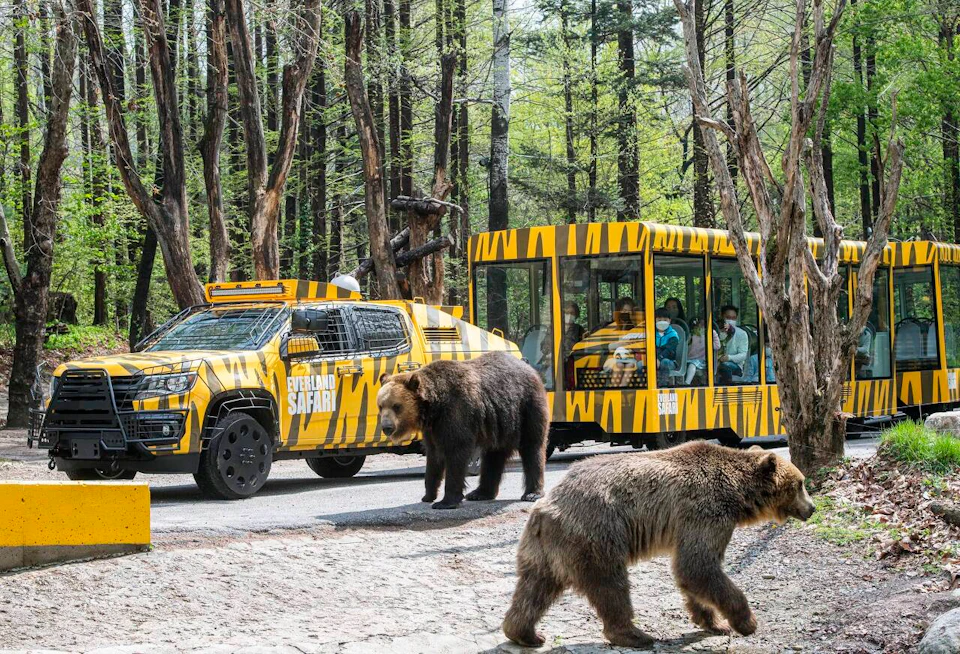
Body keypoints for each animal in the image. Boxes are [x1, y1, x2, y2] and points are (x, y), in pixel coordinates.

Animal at [376, 351, 549, 510]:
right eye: (380, 406)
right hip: (500, 422)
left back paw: (532, 493)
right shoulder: (433, 428)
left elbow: (455, 453)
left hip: (526, 407)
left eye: (396, 406)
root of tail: (528, 366)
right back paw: (480, 493)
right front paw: (428, 495)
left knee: (532, 447)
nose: (387, 427)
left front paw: (445, 502)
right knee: (493, 455)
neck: (434, 407)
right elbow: (433, 457)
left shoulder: (457, 412)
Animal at [502, 441, 815, 647]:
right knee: (610, 585)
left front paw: (713, 621)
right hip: (595, 533)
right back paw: (634, 634)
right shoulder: (706, 511)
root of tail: (546, 507)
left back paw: (525, 633)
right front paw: (745, 622)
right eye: (800, 483)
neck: (738, 496)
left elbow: (692, 572)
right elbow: (698, 565)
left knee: (534, 588)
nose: (811, 508)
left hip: (543, 548)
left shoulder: (694, 523)